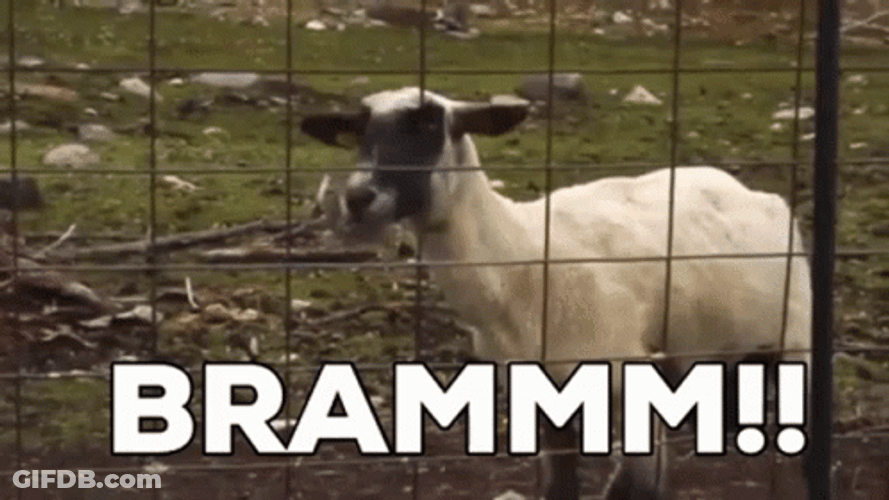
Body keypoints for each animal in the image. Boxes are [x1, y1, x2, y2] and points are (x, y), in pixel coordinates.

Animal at [301, 87, 812, 500]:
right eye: (359, 133)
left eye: (428, 126)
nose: (358, 198)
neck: (520, 261)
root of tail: (756, 194)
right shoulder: (542, 386)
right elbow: (561, 487)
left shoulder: (623, 371)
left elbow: (633, 489)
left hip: (793, 338)